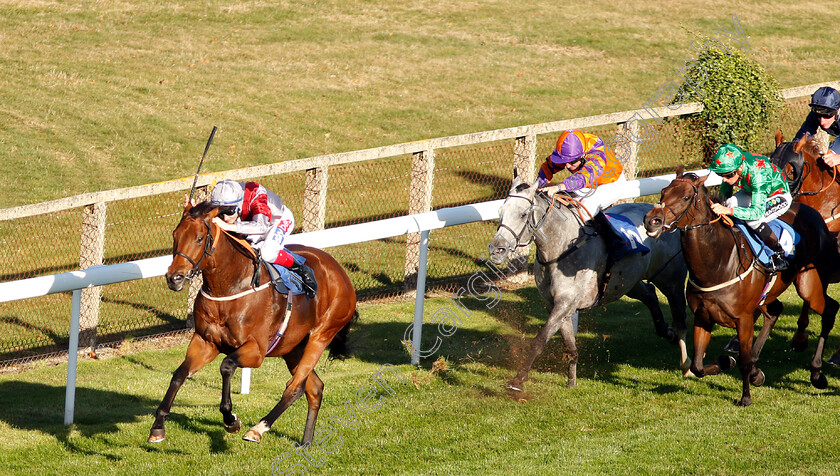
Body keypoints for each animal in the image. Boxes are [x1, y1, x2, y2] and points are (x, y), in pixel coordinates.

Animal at [148, 200, 358, 442]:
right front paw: (158, 426)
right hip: (292, 347)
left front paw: (230, 419)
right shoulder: (205, 342)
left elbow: (227, 366)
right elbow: (179, 374)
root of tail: (340, 271)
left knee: (295, 387)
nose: (174, 278)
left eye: (199, 238)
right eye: (175, 235)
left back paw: (258, 428)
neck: (230, 287)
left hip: (321, 334)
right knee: (314, 388)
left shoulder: (256, 350)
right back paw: (306, 443)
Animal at [486, 171, 688, 390]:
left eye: (523, 214)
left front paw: (517, 380)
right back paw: (667, 333)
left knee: (679, 312)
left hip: (671, 280)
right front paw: (572, 381)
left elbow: (540, 339)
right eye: (500, 211)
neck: (560, 250)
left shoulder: (565, 302)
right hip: (626, 282)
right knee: (650, 295)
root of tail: (664, 217)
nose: (496, 249)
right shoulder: (556, 304)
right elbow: (569, 345)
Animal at [648, 168, 836, 406]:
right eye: (663, 191)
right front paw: (729, 363)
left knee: (830, 309)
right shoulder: (703, 316)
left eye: (685, 197)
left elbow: (744, 362)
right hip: (767, 294)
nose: (651, 220)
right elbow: (697, 366)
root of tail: (815, 215)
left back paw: (817, 373)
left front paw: (745, 397)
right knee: (775, 311)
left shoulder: (743, 319)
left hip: (808, 284)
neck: (717, 263)